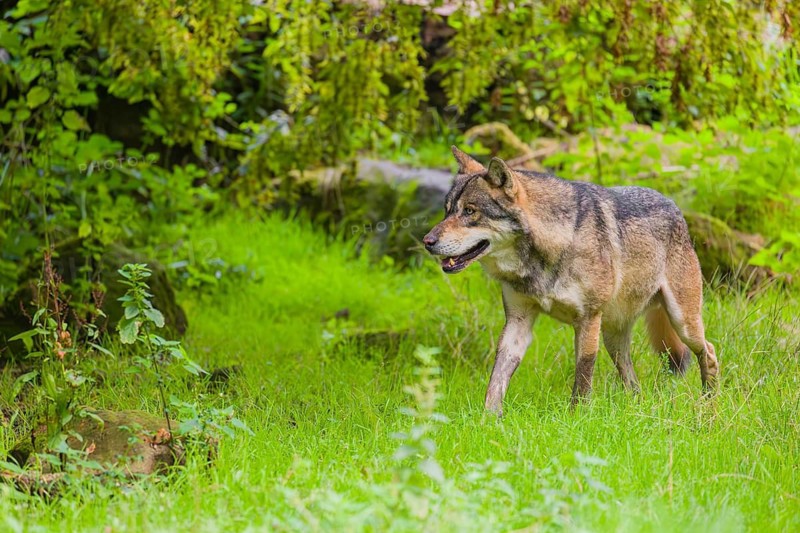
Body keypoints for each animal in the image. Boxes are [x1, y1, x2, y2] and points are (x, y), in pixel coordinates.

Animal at [423, 146, 719, 415]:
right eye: (447, 211)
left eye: (470, 212)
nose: (427, 241)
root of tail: (674, 206)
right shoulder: (518, 322)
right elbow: (496, 380)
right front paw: (489, 419)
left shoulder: (588, 319)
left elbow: (582, 379)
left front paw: (578, 418)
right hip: (613, 338)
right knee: (632, 379)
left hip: (682, 323)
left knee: (709, 351)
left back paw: (708, 406)